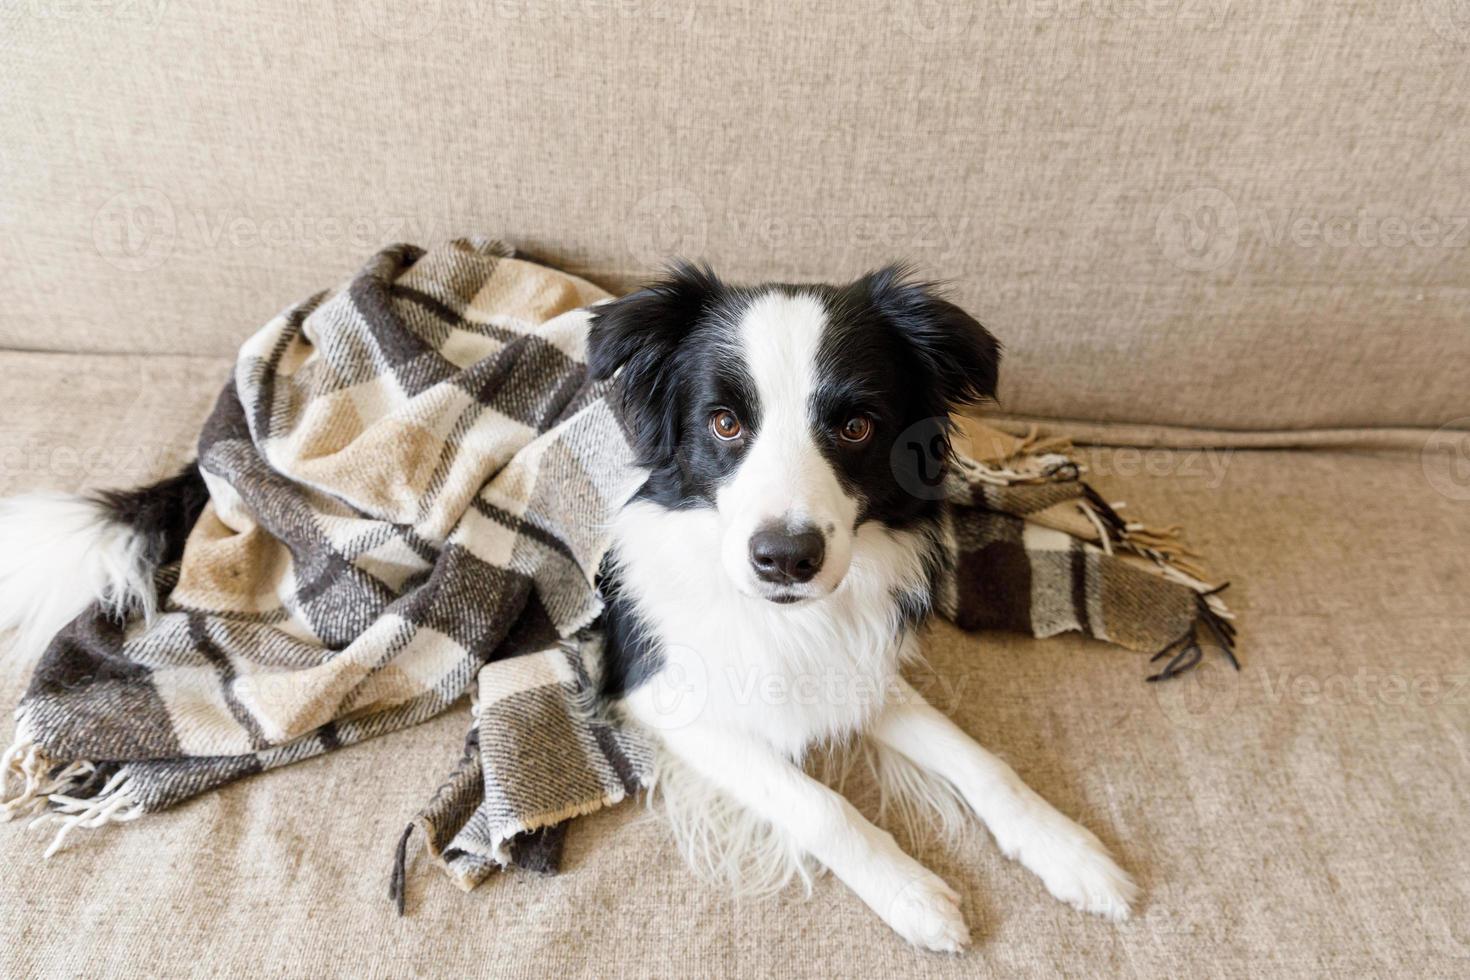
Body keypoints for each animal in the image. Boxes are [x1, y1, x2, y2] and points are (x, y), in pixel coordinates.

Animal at [0, 260, 1134, 952]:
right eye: (724, 422)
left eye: (854, 425)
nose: (785, 558)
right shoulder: (662, 691)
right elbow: (819, 801)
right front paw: (917, 894)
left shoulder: (841, 650)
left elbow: (983, 762)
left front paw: (1079, 856)